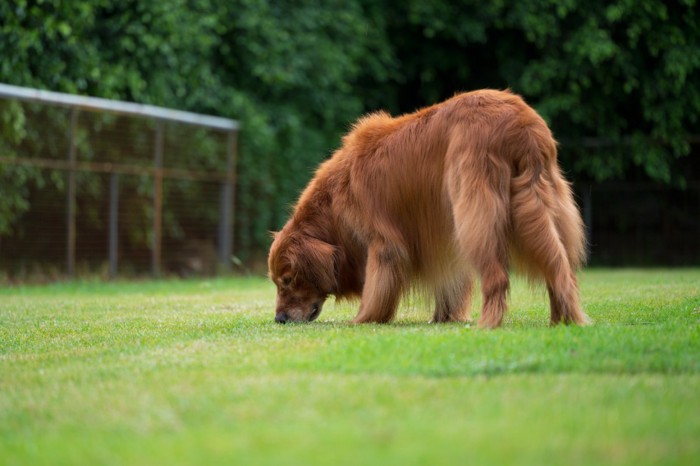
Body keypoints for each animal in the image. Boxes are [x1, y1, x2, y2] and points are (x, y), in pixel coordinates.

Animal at [266, 88, 584, 328]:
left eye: (287, 280)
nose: (279, 319)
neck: (336, 193)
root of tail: (522, 124)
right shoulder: (441, 236)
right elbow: (449, 282)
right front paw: (444, 317)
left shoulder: (384, 243)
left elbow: (376, 286)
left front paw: (364, 318)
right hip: (545, 204)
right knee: (561, 268)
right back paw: (564, 320)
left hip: (474, 212)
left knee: (497, 276)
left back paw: (489, 324)